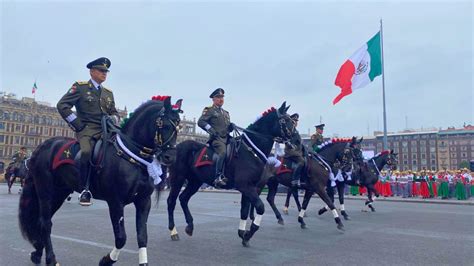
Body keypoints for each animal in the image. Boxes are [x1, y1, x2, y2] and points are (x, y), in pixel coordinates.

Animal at [18, 97, 181, 266]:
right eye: (163, 124)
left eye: (179, 126)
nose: (170, 157)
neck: (131, 157)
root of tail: (42, 147)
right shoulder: (116, 202)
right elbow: (121, 238)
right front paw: (106, 260)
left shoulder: (143, 201)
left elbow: (142, 236)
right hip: (45, 191)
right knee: (45, 223)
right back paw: (51, 259)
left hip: (59, 193)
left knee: (42, 221)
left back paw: (37, 253)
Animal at [165, 102, 294, 247]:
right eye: (285, 120)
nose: (295, 139)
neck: (251, 150)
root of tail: (177, 146)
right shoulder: (245, 186)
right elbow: (260, 207)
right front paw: (248, 234)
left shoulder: (249, 187)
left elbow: (244, 211)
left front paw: (242, 234)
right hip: (178, 178)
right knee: (171, 201)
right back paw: (173, 231)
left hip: (195, 181)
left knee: (183, 198)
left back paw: (190, 226)